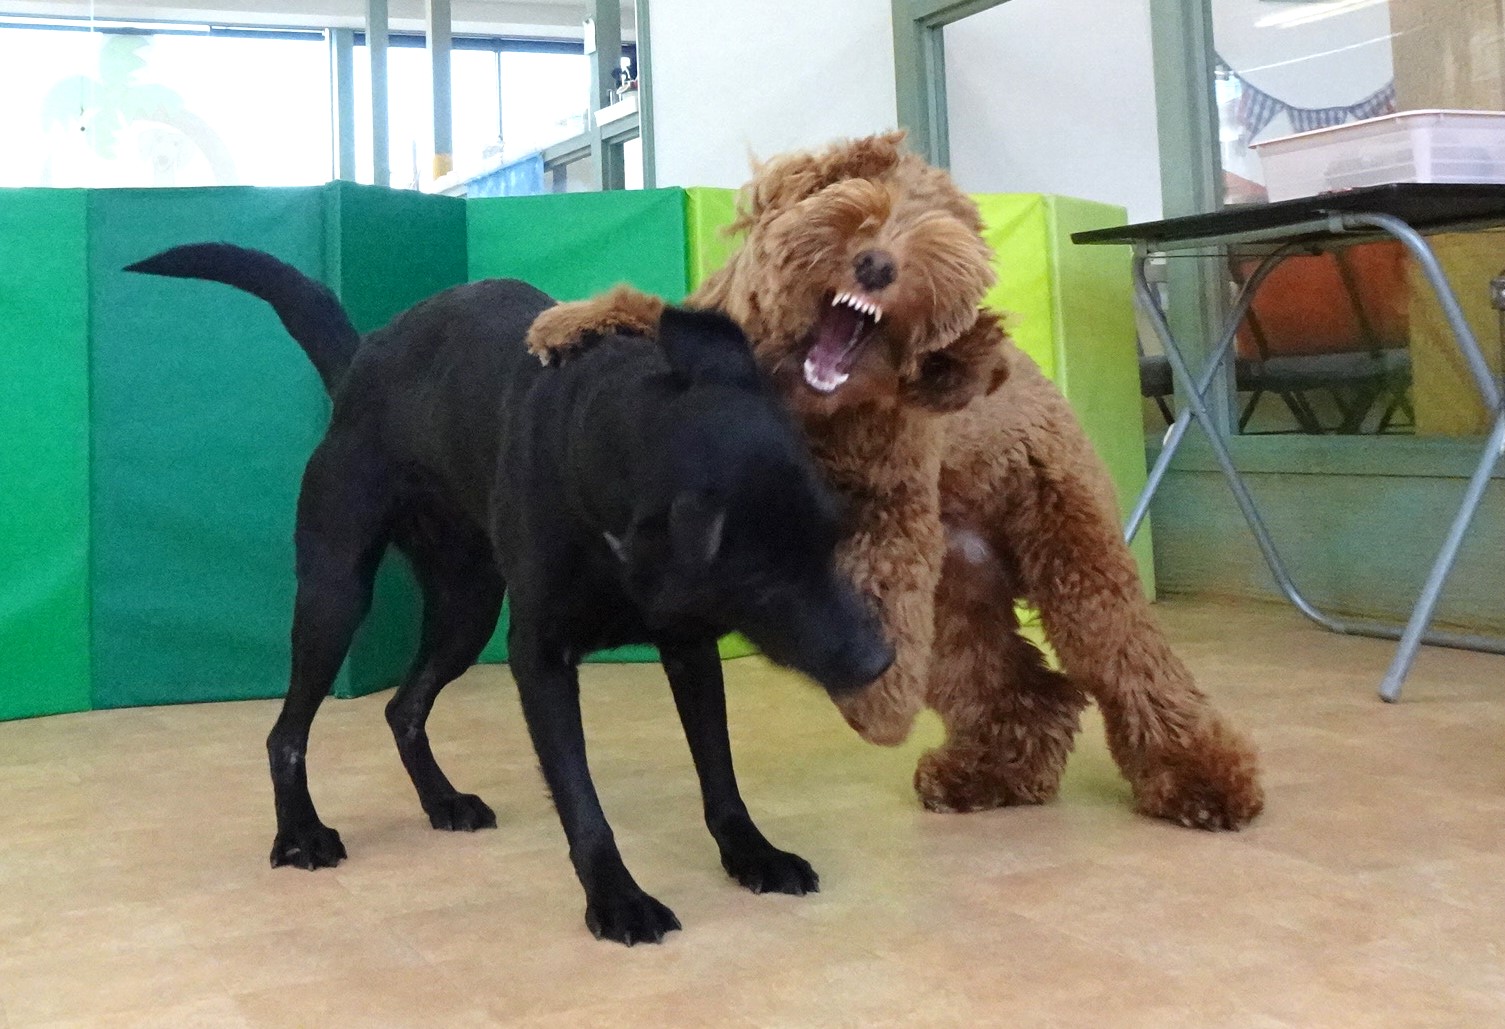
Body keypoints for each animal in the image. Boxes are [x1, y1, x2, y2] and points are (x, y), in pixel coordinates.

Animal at [129, 245, 890, 944]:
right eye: (763, 577)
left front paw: (752, 853)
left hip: (466, 610)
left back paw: (440, 799)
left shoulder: (690, 648)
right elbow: (582, 801)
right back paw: (301, 833)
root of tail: (359, 362)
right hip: (334, 595)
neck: (607, 433)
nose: (879, 660)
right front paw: (617, 899)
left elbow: (720, 776)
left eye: (831, 536)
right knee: (285, 733)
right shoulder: (540, 659)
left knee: (403, 707)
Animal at [523, 132, 1264, 830]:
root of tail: (1038, 384)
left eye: (936, 224)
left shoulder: (889, 503)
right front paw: (572, 319)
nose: (878, 264)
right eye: (857, 192)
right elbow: (658, 314)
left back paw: (1202, 782)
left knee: (1126, 660)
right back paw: (991, 773)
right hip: (957, 593)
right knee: (1019, 684)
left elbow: (876, 587)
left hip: (1072, 555)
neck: (805, 399)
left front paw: (876, 700)